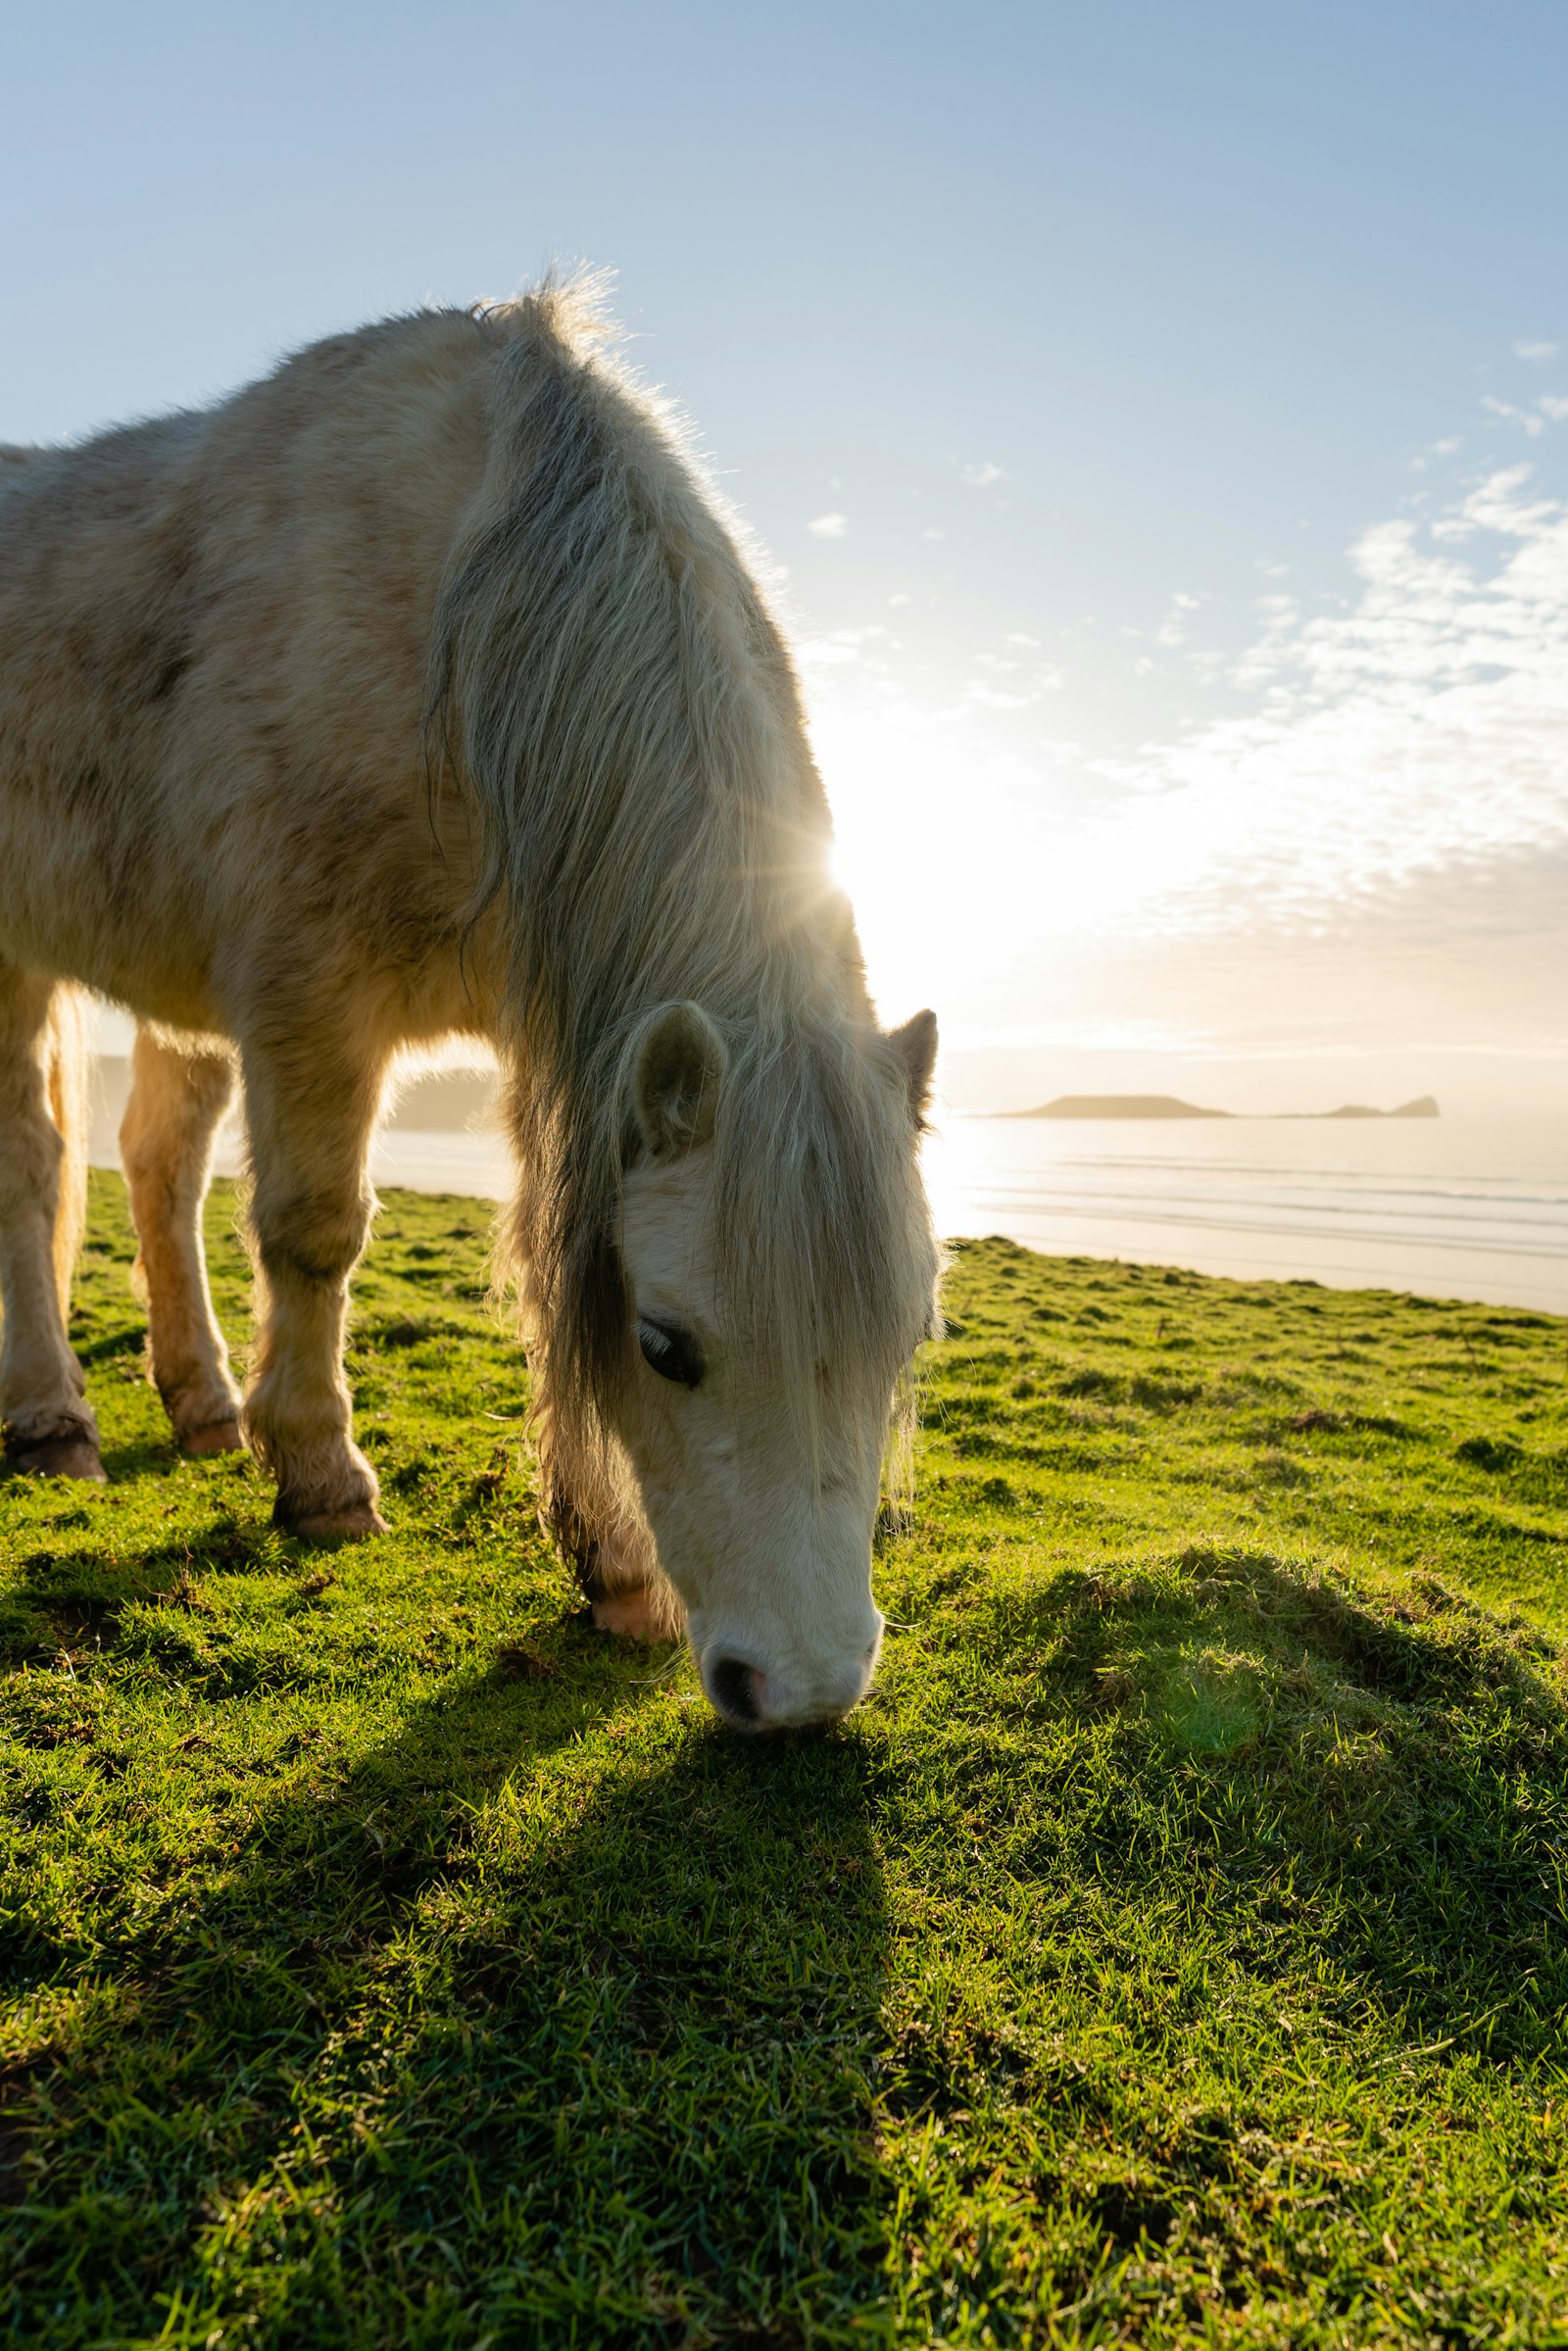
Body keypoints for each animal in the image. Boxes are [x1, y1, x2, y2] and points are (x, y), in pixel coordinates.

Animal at [0, 284, 940, 1739]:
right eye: (669, 1345)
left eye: (903, 1336)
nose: (803, 1690)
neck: (467, 610)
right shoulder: (307, 991)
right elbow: (317, 1232)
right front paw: (323, 1477)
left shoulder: (550, 1029)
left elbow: (550, 1258)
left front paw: (613, 1565)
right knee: (35, 1166)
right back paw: (56, 1420)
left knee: (156, 1159)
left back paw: (203, 1403)